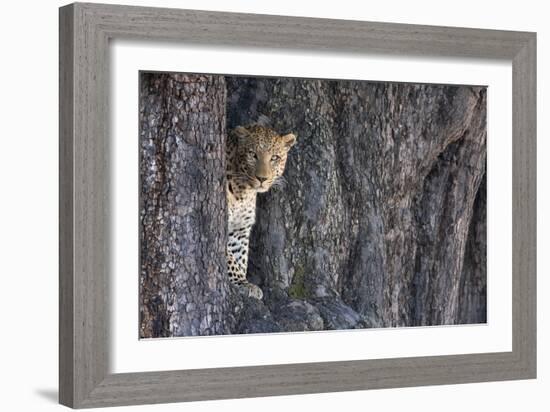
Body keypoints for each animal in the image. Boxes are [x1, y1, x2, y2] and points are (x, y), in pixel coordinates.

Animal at [226, 120, 298, 300]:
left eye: (274, 158)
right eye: (253, 155)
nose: (262, 178)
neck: (243, 191)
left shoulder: (239, 230)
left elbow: (240, 257)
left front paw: (243, 282)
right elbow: (229, 258)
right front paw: (241, 282)